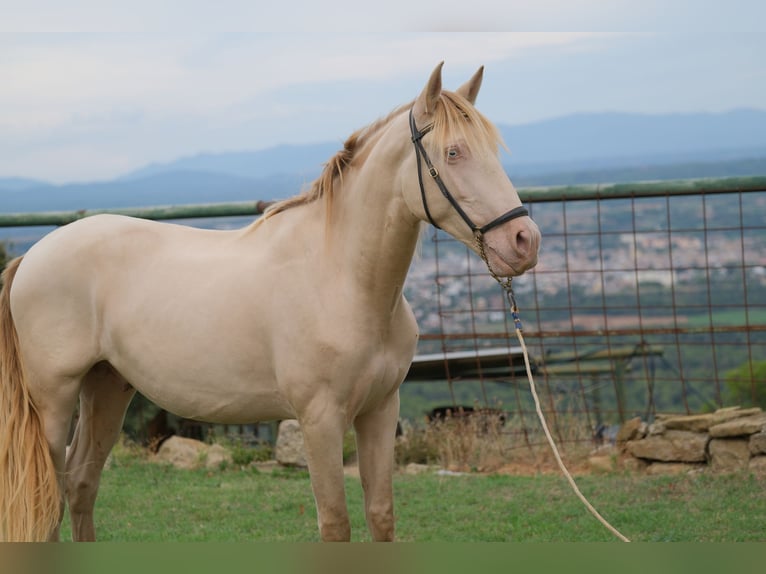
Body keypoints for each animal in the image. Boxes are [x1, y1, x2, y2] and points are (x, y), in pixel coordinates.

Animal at [0, 64, 540, 544]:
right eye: (453, 152)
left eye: (493, 150)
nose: (524, 241)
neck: (342, 279)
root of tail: (32, 256)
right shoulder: (319, 420)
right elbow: (336, 524)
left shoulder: (381, 410)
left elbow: (381, 515)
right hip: (55, 402)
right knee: (49, 499)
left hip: (108, 388)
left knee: (80, 484)